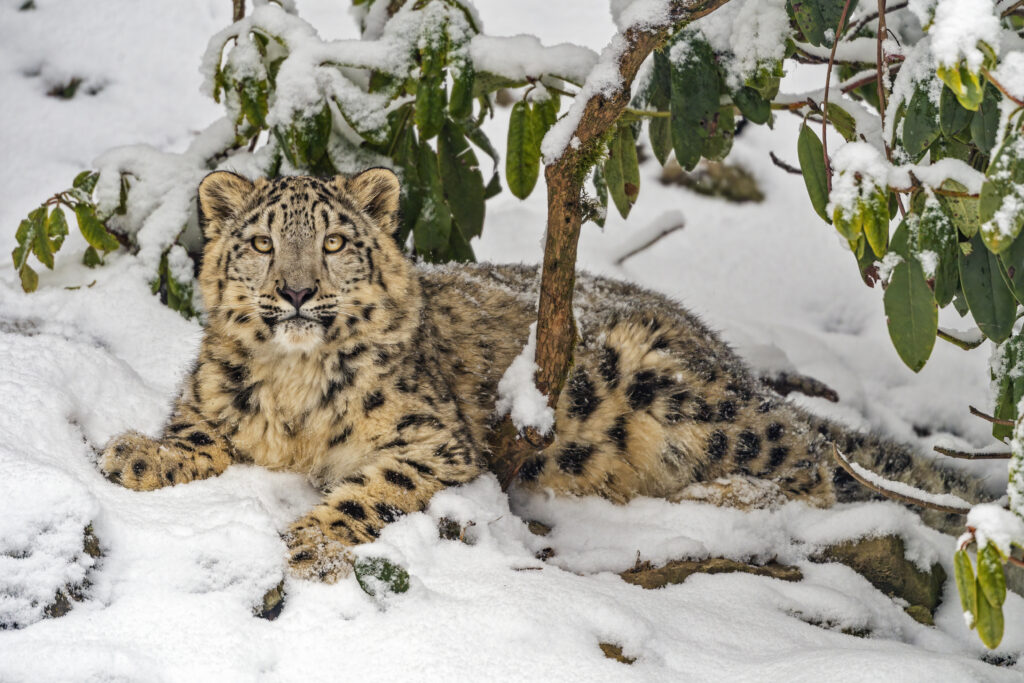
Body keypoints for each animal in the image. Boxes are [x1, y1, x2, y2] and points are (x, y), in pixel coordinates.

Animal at [99, 169, 985, 582]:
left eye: (335, 241)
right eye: (261, 242)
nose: (294, 290)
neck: (292, 392)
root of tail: (727, 353)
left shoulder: (436, 443)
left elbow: (372, 486)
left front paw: (311, 538)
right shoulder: (211, 409)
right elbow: (197, 438)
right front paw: (135, 454)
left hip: (664, 385)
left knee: (808, 465)